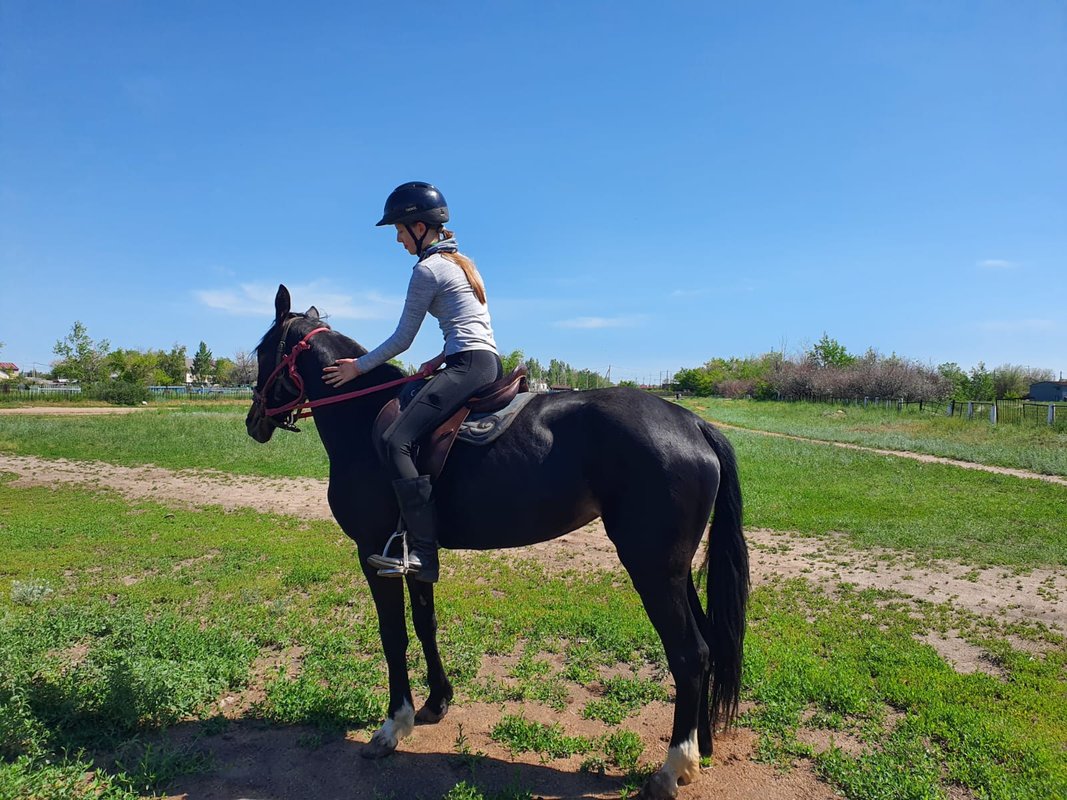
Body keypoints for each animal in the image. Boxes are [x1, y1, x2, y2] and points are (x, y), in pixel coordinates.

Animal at [245, 285, 749, 800]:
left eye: (263, 353)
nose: (254, 421)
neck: (360, 416)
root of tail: (693, 425)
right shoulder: (416, 553)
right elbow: (425, 625)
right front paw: (436, 702)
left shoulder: (373, 553)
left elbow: (393, 635)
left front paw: (392, 726)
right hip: (674, 570)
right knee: (708, 645)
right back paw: (701, 745)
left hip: (652, 568)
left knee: (690, 654)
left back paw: (673, 766)